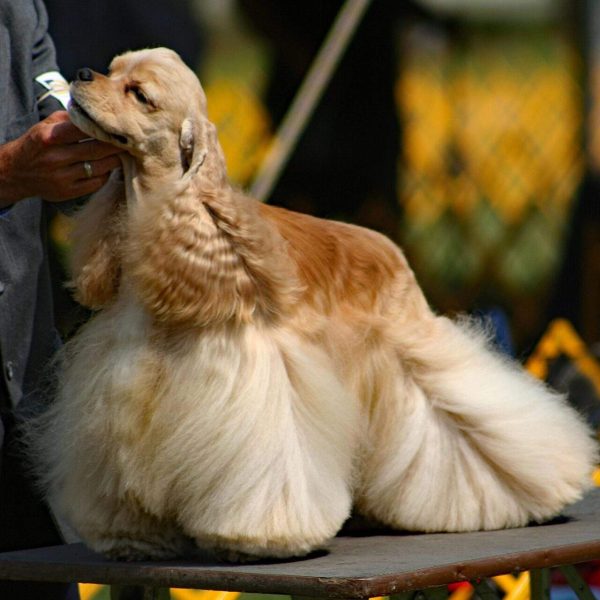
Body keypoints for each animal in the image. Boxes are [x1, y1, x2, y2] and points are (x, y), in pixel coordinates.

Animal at [30, 47, 596, 564]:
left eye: (140, 93)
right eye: (112, 66)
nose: (81, 73)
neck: (168, 227)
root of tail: (391, 248)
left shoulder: (256, 379)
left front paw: (257, 539)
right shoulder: (121, 386)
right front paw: (132, 536)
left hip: (416, 362)